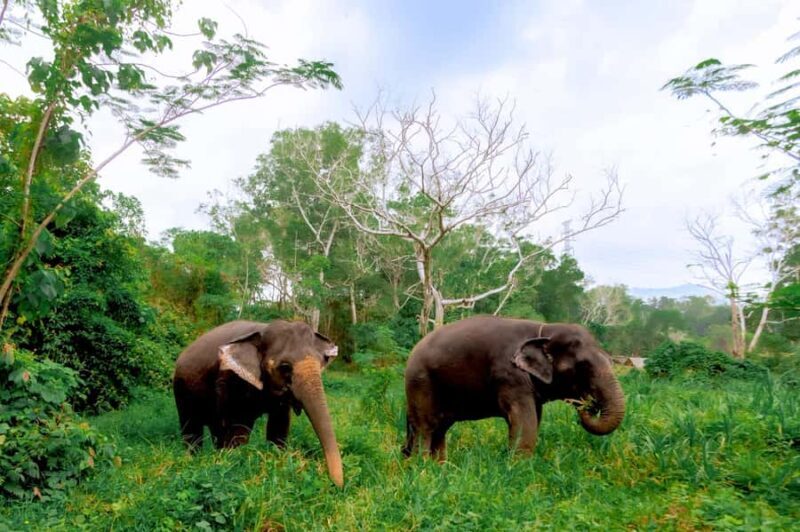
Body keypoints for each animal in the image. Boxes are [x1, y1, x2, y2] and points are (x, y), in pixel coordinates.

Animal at [173, 320, 343, 487]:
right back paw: (194, 459)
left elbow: (279, 425)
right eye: (285, 367)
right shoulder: (232, 379)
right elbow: (239, 427)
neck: (263, 329)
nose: (335, 485)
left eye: (321, 362)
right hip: (181, 391)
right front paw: (234, 463)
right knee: (193, 430)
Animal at [403, 316, 625, 460]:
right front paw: (519, 469)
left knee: (440, 429)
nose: (589, 405)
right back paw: (423, 469)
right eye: (583, 366)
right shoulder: (509, 374)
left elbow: (534, 418)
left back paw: (440, 467)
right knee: (426, 427)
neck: (545, 330)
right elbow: (524, 420)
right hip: (421, 383)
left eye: (610, 361)